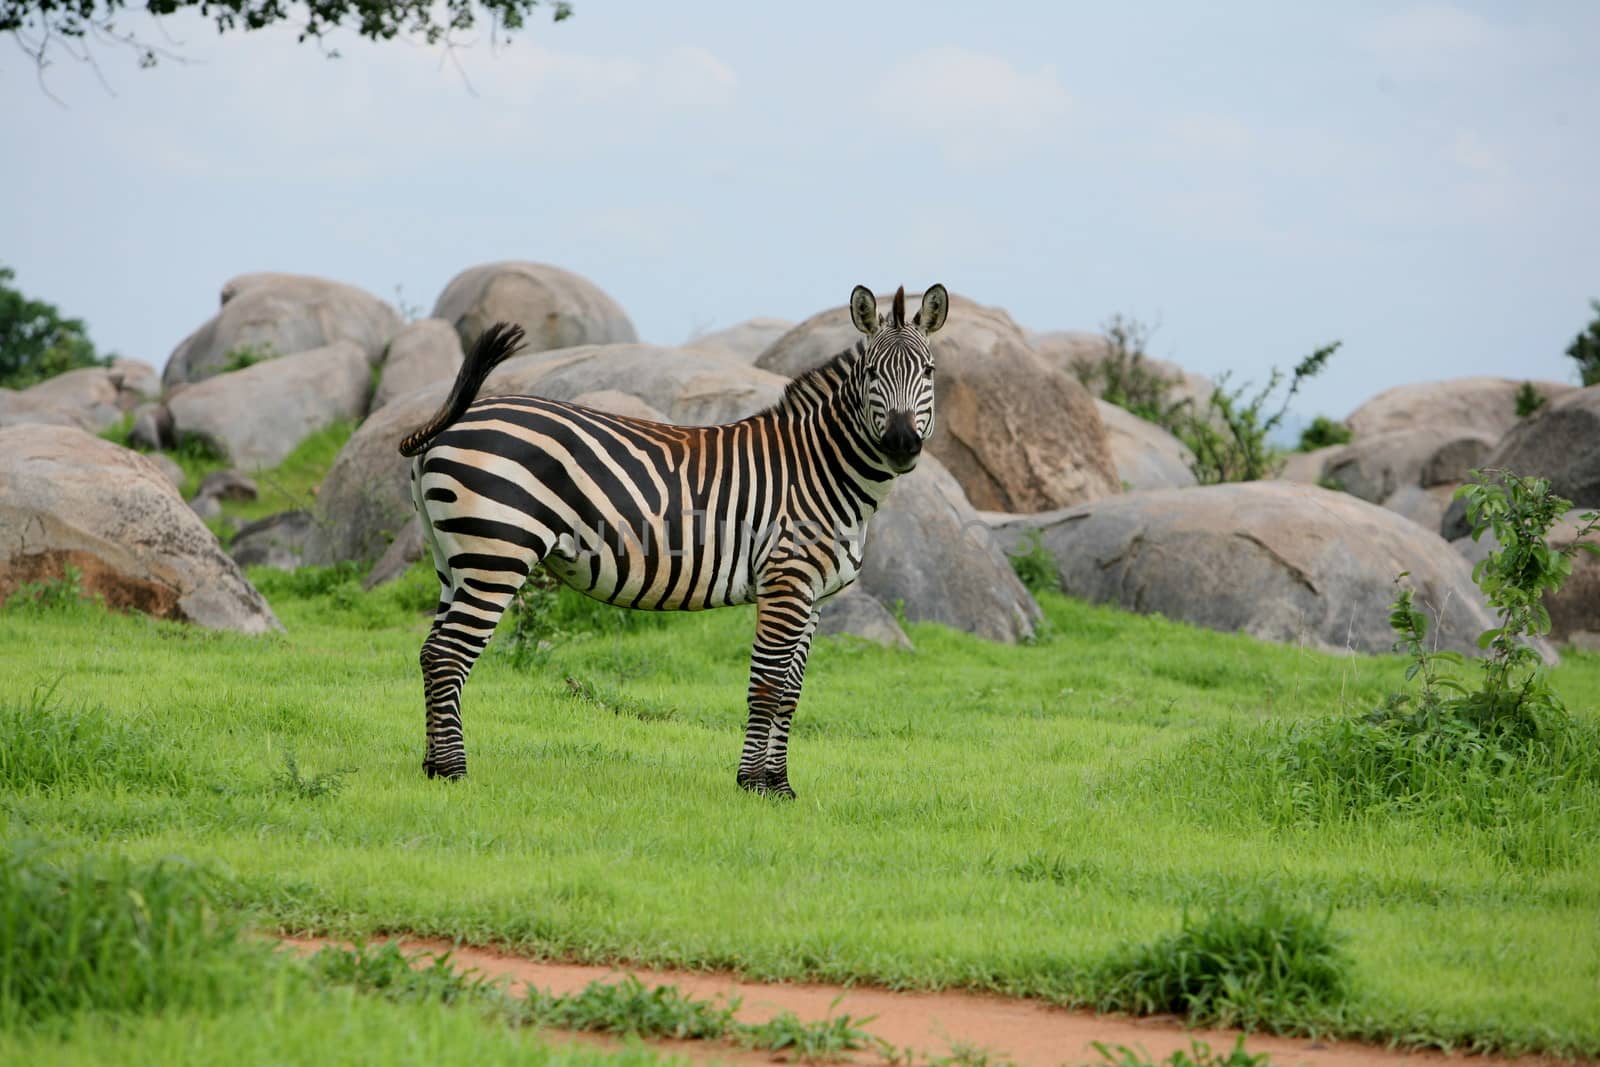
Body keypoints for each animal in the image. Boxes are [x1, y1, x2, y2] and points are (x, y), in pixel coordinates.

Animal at [400, 283, 947, 799]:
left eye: (930, 371)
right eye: (872, 374)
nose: (902, 444)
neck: (821, 469)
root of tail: (452, 423)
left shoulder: (812, 599)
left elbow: (791, 694)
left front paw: (781, 786)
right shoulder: (786, 583)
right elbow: (767, 687)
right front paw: (754, 785)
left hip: (453, 560)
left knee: (429, 652)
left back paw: (430, 767)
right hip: (497, 555)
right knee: (448, 655)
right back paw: (453, 773)